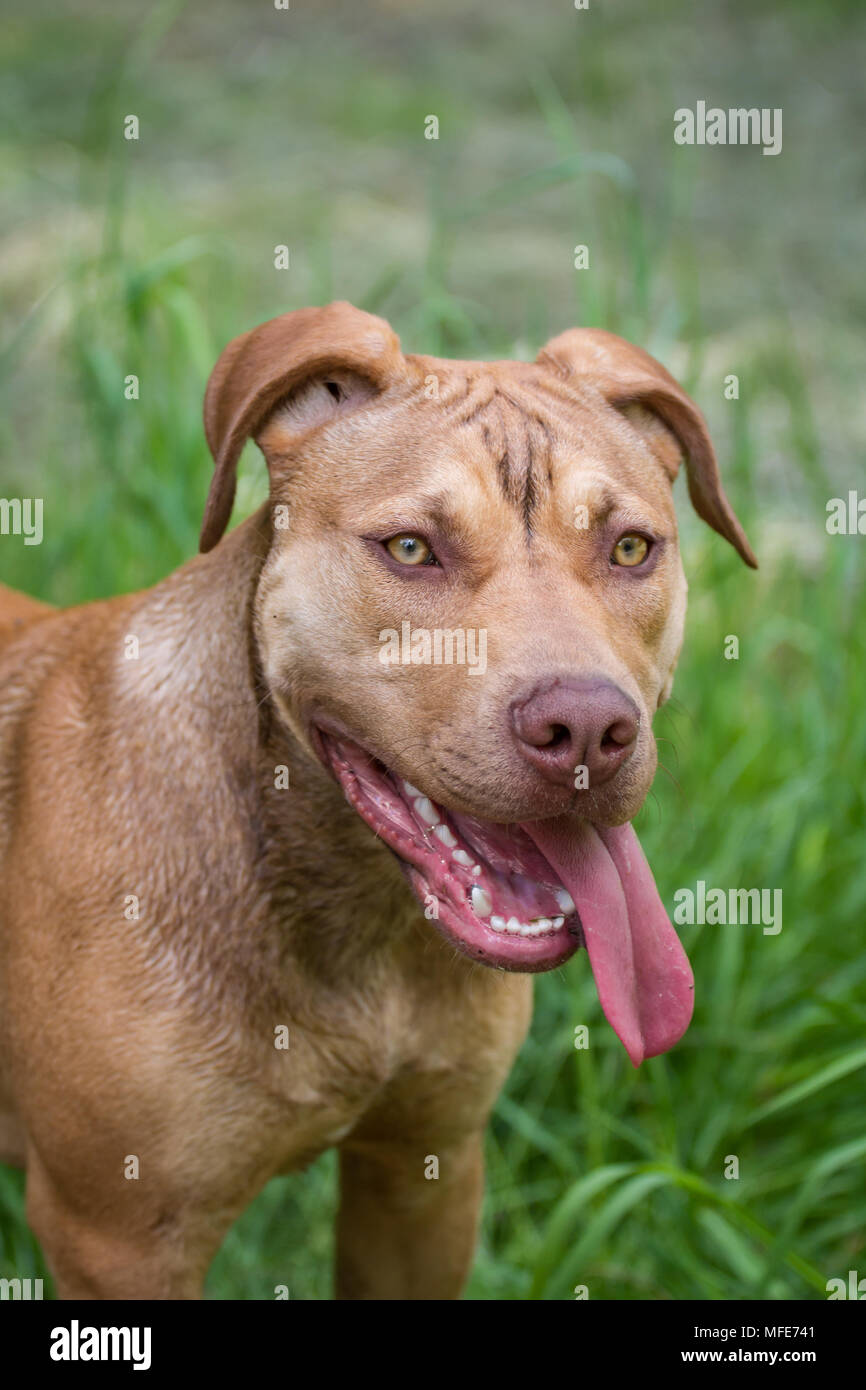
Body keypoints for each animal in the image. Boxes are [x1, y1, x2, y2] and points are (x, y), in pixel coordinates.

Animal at [0, 304, 756, 1301]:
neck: (362, 930)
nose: (589, 729)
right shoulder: (119, 1241)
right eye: (410, 549)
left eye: (631, 548)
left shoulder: (424, 1173)